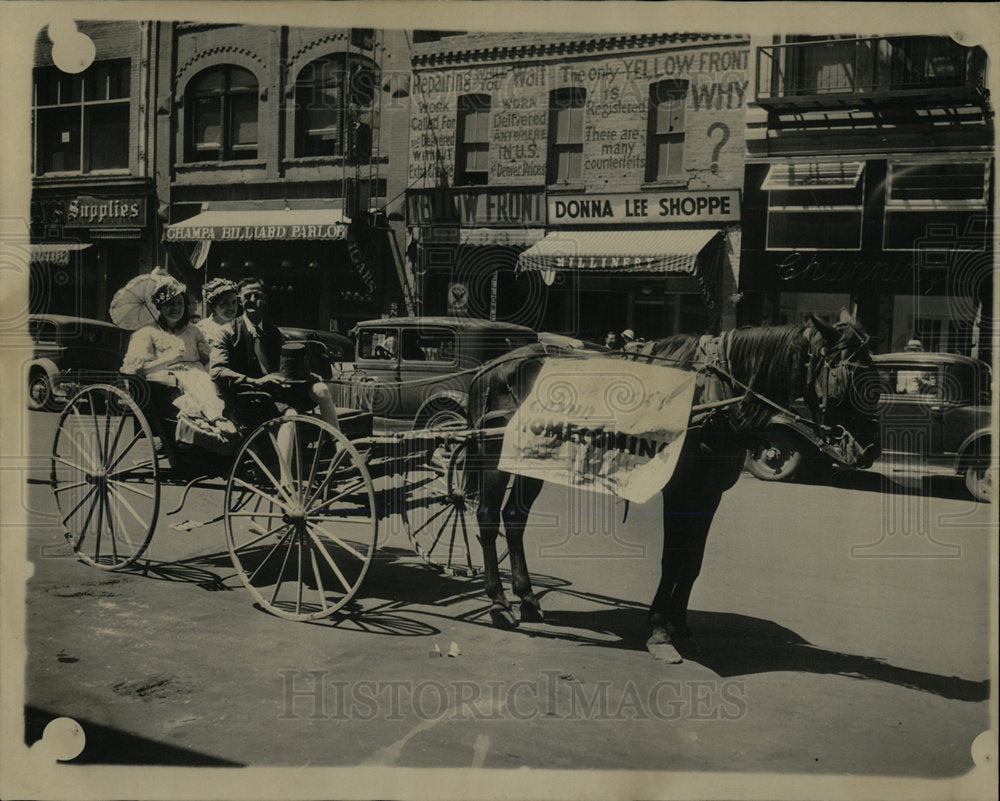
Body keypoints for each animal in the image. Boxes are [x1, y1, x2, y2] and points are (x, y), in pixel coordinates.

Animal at [464, 310, 880, 660]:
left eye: (877, 377)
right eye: (849, 377)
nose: (870, 449)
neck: (715, 393)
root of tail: (492, 366)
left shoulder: (710, 493)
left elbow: (692, 561)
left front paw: (680, 624)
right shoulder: (679, 491)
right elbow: (672, 558)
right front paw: (660, 630)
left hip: (533, 462)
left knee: (514, 519)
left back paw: (526, 597)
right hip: (493, 454)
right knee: (488, 518)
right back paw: (499, 602)